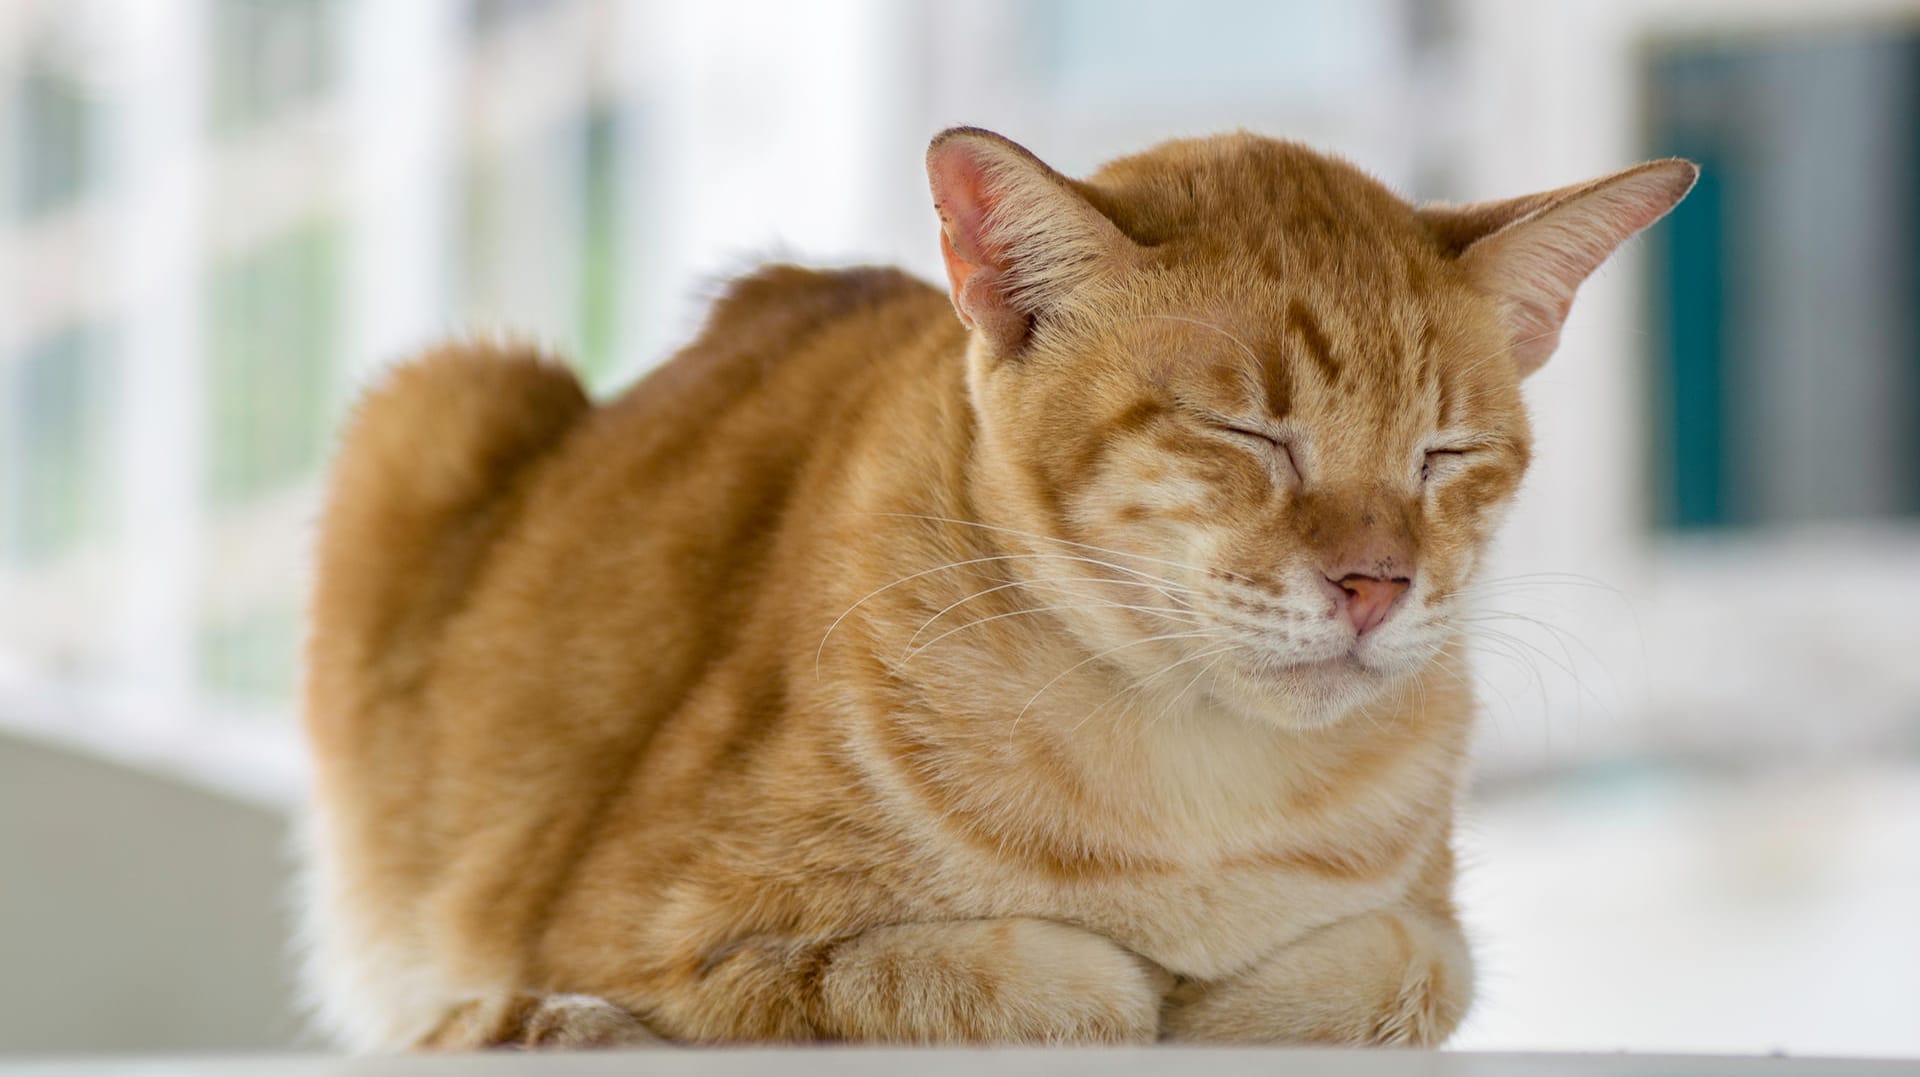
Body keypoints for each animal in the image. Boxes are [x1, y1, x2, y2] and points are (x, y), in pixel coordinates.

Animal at [299, 123, 1697, 1044]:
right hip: (432, 403)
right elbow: (985, 983)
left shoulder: (1426, 934)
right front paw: (1128, 991)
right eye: (1247, 434)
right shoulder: (641, 932)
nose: (1376, 583)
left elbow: (1398, 969)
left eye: (1445, 455)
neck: (1205, 793)